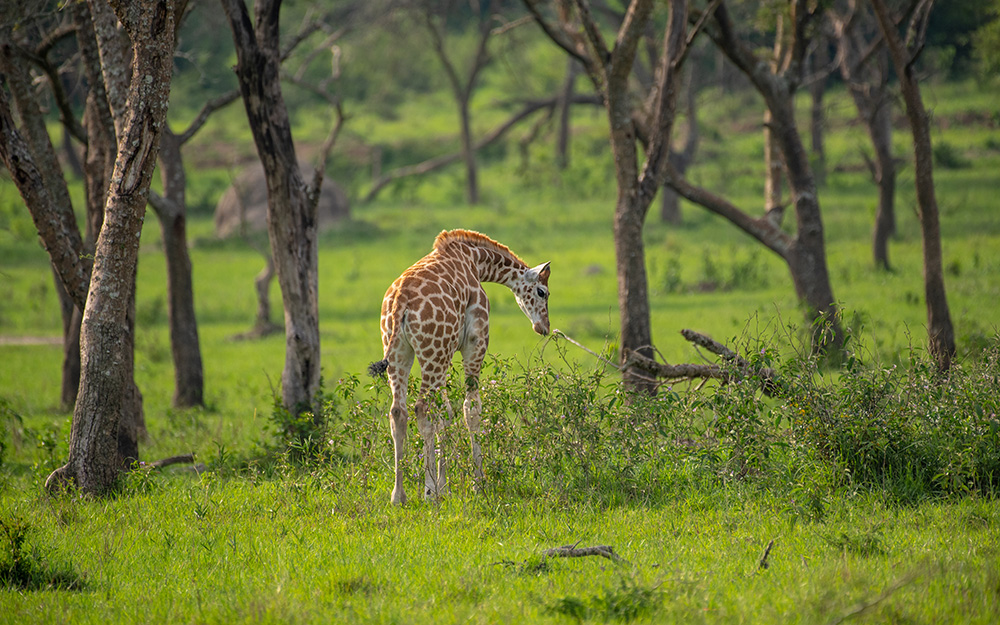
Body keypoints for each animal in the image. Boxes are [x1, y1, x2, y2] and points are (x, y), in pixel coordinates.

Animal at [368, 229, 551, 505]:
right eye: (542, 292)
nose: (544, 327)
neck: (476, 260)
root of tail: (400, 303)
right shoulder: (475, 341)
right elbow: (470, 410)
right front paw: (477, 484)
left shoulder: (446, 352)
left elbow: (446, 412)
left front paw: (445, 486)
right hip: (433, 352)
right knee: (422, 408)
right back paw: (428, 492)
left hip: (401, 352)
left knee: (399, 411)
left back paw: (399, 495)